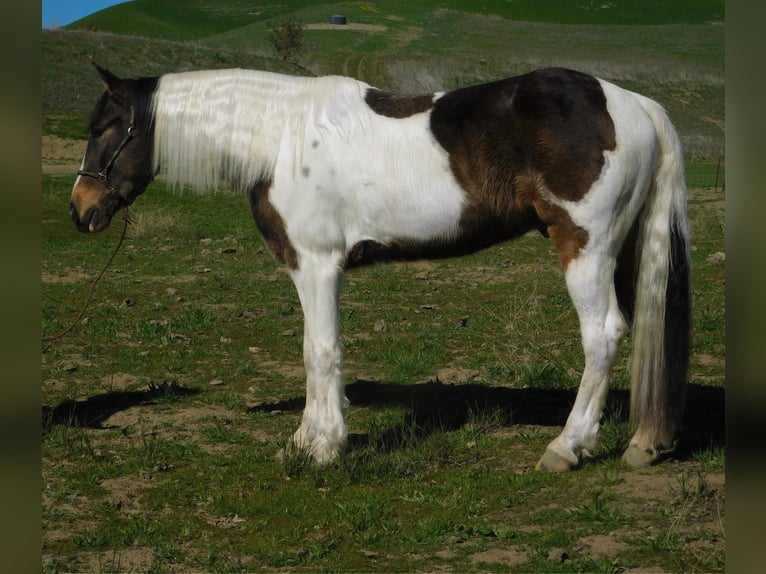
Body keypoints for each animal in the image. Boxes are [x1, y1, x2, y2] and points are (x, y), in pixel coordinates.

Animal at [73, 65, 696, 474]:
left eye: (106, 127)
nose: (82, 210)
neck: (280, 137)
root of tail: (633, 103)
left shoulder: (317, 265)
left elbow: (320, 350)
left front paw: (323, 447)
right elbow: (313, 351)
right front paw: (305, 439)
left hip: (585, 248)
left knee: (603, 335)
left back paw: (567, 447)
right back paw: (643, 443)